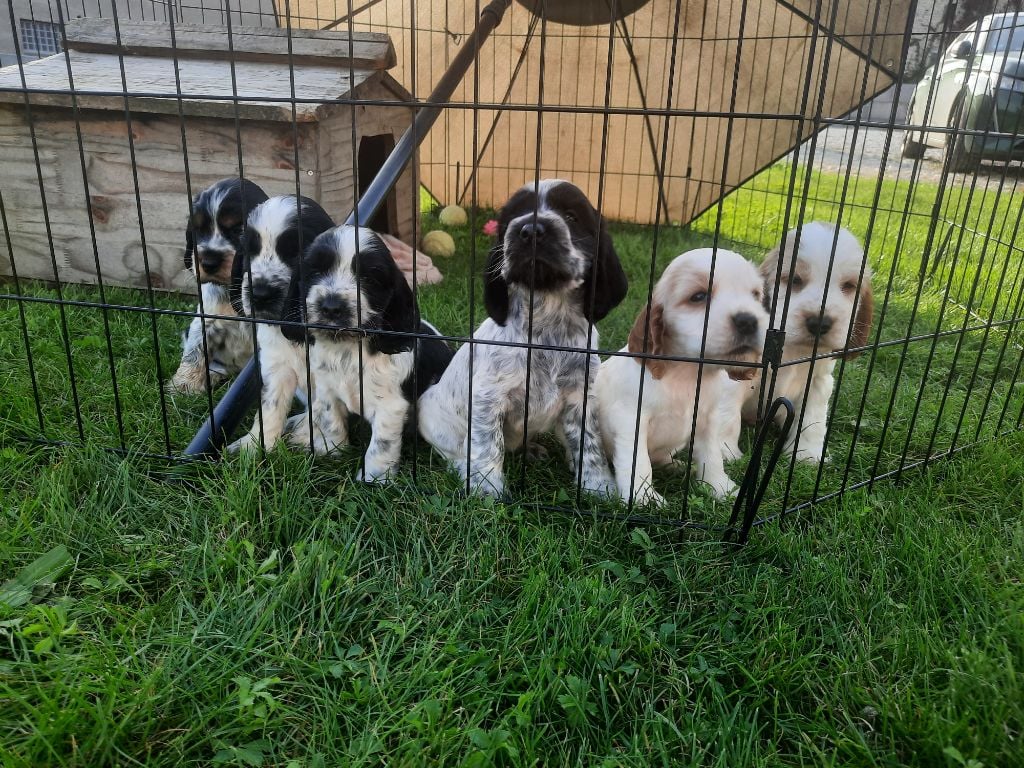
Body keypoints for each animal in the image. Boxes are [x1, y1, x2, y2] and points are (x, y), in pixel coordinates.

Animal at [166, 179, 268, 397]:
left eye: (239, 230)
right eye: (199, 230)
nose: (209, 262)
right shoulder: (205, 320)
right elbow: (194, 351)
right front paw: (184, 385)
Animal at [282, 225, 454, 483]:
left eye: (369, 279)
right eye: (315, 272)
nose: (331, 307)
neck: (348, 349)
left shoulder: (390, 407)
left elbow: (381, 445)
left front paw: (373, 480)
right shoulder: (327, 390)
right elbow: (332, 420)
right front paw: (332, 449)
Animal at [413, 180, 622, 499]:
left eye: (571, 216)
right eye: (512, 217)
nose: (530, 230)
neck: (547, 326)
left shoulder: (580, 397)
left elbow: (590, 446)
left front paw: (599, 487)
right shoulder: (488, 398)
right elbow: (486, 446)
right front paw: (486, 491)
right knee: (457, 451)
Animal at [598, 249, 770, 507]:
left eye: (755, 295)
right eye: (698, 296)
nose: (748, 320)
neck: (687, 373)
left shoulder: (709, 420)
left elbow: (712, 457)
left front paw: (720, 488)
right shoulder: (630, 420)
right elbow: (638, 463)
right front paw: (644, 498)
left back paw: (676, 466)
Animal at [720, 221, 872, 462]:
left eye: (848, 286)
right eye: (794, 280)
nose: (819, 322)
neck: (795, 350)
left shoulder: (818, 382)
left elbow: (812, 421)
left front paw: (808, 455)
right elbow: (727, 417)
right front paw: (725, 453)